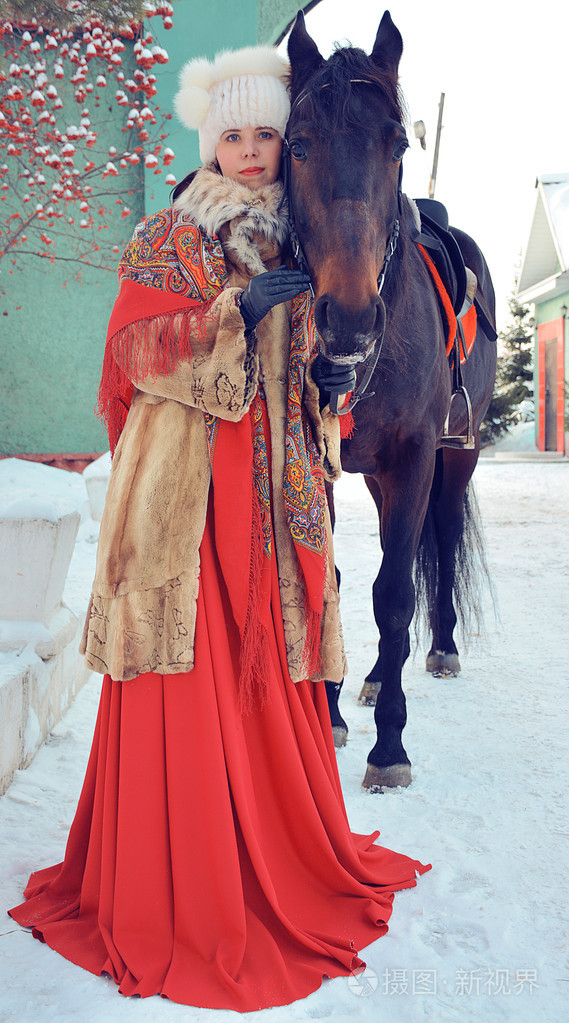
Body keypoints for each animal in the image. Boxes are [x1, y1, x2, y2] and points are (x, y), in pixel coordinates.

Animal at [286, 9, 495, 789]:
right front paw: (331, 713)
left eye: (398, 142)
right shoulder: (321, 462)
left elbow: (395, 592)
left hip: (454, 457)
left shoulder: (414, 456)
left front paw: (390, 747)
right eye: (297, 142)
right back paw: (377, 675)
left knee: (436, 544)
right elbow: (333, 581)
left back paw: (438, 649)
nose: (348, 320)